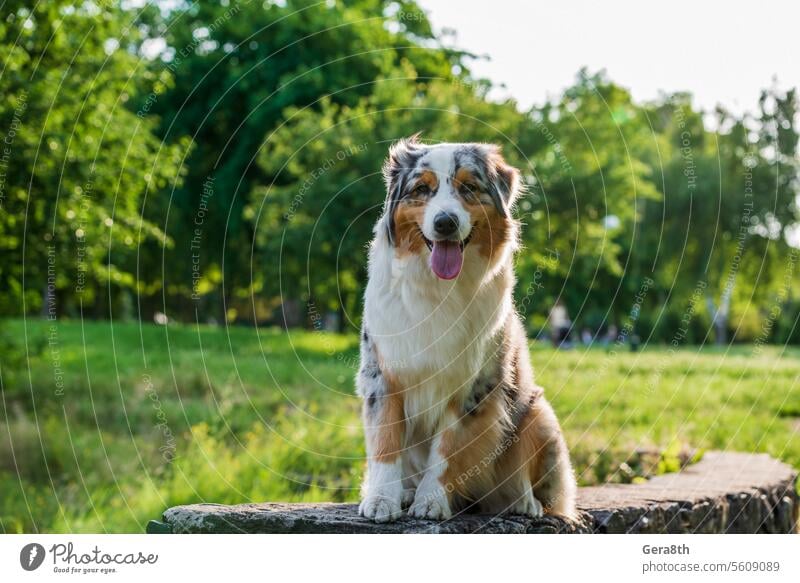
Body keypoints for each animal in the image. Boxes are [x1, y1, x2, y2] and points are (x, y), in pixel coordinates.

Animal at [356, 138, 576, 524]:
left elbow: (447, 450)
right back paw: (406, 493)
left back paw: (524, 501)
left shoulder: (474, 386)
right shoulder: (382, 374)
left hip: (537, 411)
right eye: (422, 189)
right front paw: (382, 500)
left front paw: (431, 501)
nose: (445, 223)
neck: (438, 290)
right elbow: (386, 443)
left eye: (469, 188)